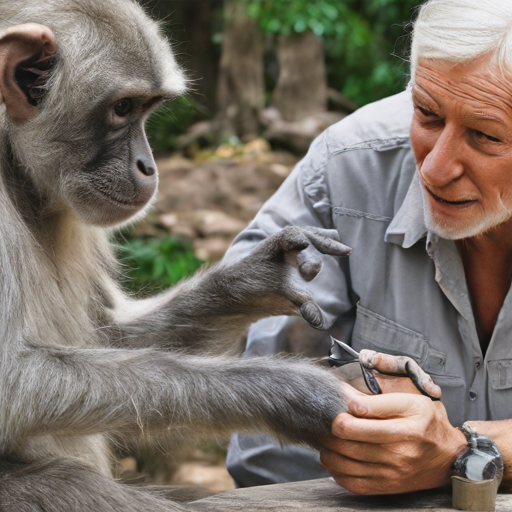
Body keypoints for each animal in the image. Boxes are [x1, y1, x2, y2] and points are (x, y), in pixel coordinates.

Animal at [0, 2, 436, 510]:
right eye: (122, 108)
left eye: (145, 109)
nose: (147, 165)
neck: (14, 169)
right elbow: (13, 385)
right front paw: (291, 391)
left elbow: (107, 337)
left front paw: (258, 279)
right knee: (69, 485)